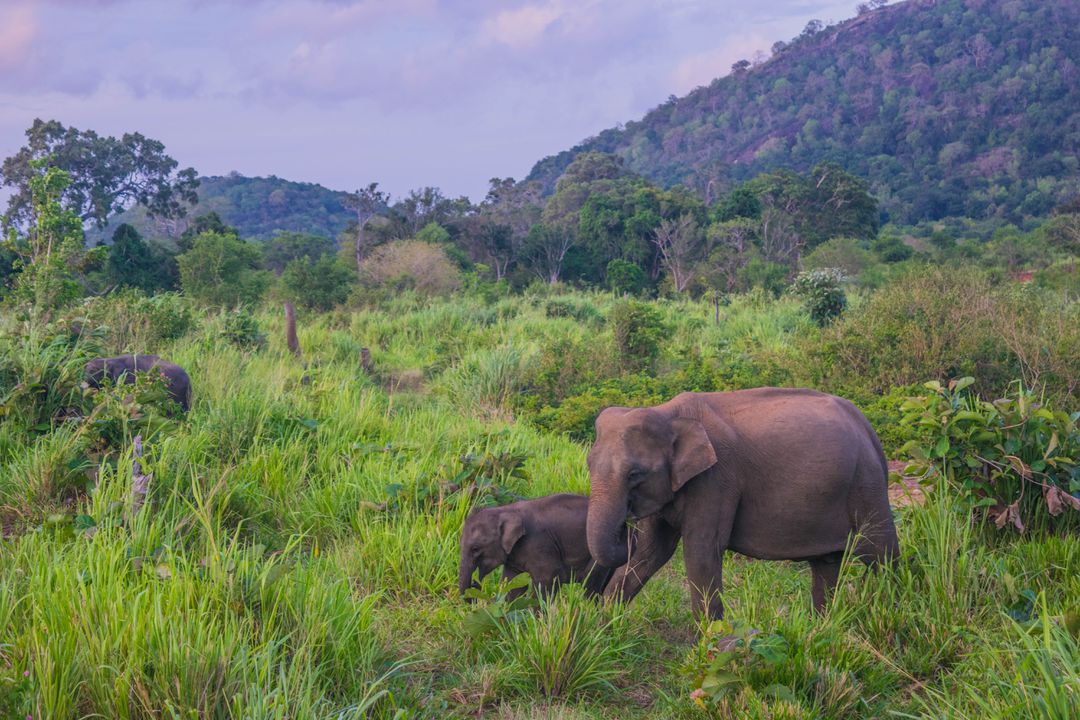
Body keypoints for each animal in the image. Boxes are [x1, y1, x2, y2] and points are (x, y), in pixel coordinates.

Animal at [455, 496, 626, 604]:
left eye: (475, 548)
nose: (476, 584)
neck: (505, 510)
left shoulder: (539, 543)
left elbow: (550, 577)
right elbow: (513, 584)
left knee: (590, 584)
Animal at [587, 388, 898, 621]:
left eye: (634, 474)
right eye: (589, 465)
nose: (627, 526)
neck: (667, 413)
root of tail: (867, 427)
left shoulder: (716, 480)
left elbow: (701, 553)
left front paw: (710, 645)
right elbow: (651, 552)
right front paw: (605, 626)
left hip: (866, 486)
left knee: (881, 555)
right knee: (827, 564)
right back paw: (821, 628)